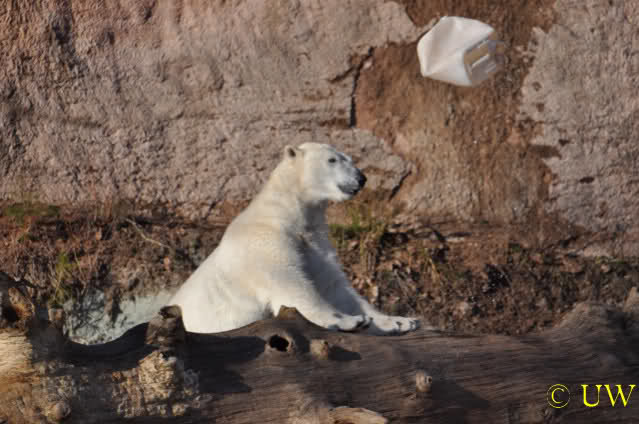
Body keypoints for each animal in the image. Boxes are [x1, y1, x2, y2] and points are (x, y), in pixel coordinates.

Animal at [168, 143, 421, 335]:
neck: (289, 211)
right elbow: (292, 283)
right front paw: (348, 320)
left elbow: (334, 286)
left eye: (349, 159)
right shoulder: (265, 241)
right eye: (332, 160)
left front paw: (400, 321)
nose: (361, 178)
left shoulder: (314, 243)